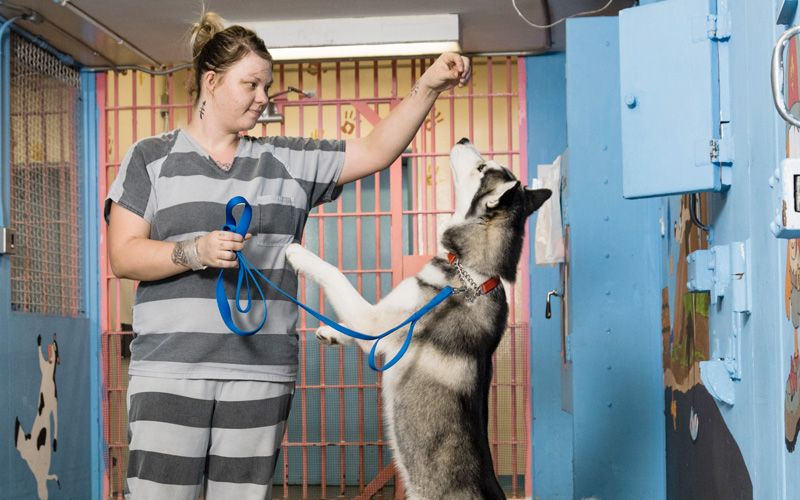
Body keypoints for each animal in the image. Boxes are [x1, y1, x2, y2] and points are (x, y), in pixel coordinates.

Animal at [284, 138, 552, 500]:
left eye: (482, 167)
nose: (463, 139)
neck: (470, 274)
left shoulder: (375, 320)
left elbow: (336, 277)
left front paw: (298, 252)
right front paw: (332, 333)